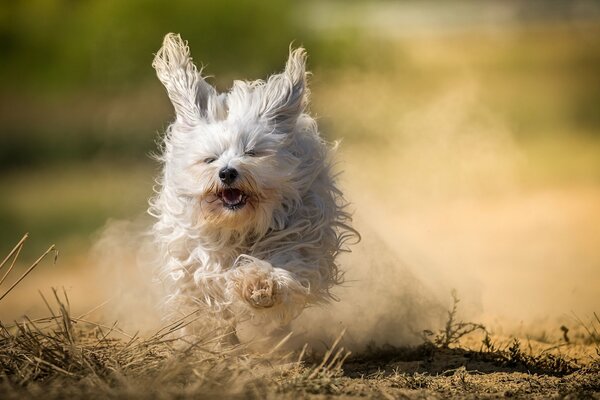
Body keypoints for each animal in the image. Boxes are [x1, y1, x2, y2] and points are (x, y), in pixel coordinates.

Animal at [149, 33, 356, 334]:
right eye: (210, 159)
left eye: (252, 152)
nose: (227, 173)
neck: (241, 225)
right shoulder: (196, 250)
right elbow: (206, 284)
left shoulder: (298, 231)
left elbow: (283, 260)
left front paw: (260, 285)